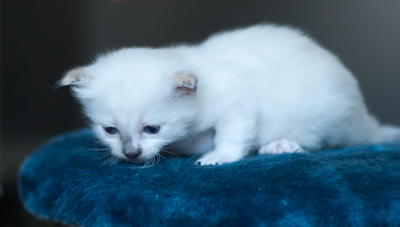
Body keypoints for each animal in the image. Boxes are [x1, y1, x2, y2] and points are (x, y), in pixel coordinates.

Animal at [59, 24, 400, 165]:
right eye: (110, 131)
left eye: (152, 129)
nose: (130, 154)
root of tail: (361, 115)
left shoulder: (239, 105)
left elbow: (231, 135)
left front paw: (219, 157)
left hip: (314, 119)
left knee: (317, 144)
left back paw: (282, 146)